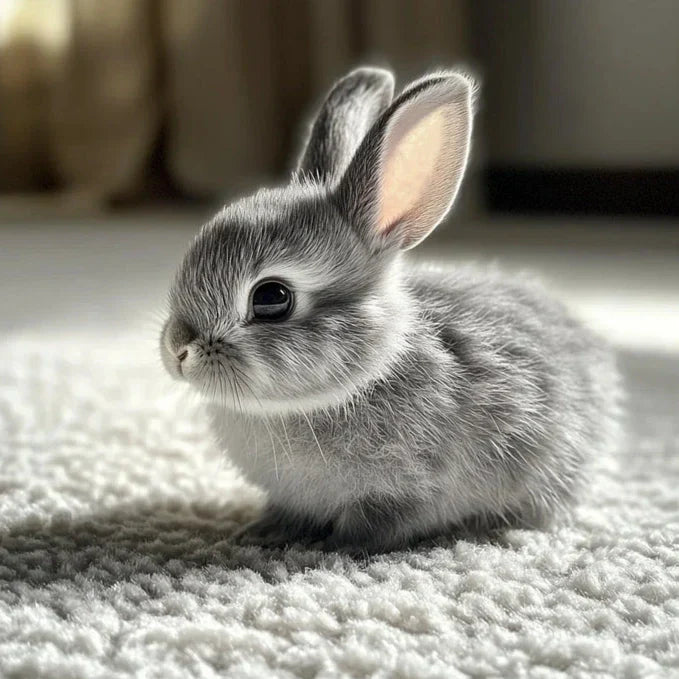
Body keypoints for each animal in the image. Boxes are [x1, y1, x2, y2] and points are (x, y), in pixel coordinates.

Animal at [160, 67, 621, 553]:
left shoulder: (408, 491)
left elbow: (375, 522)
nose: (178, 350)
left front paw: (332, 547)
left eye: (271, 298)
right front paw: (261, 532)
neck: (368, 373)